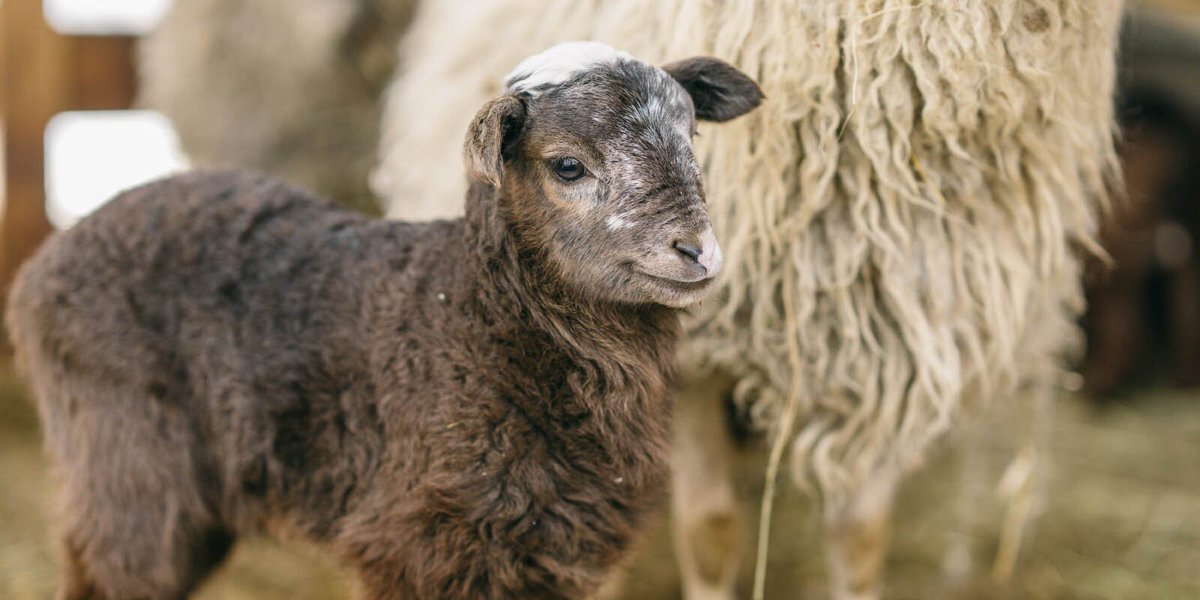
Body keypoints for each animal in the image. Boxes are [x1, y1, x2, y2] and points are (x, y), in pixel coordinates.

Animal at [7, 42, 763, 600]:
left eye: (691, 138)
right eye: (569, 165)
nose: (697, 249)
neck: (470, 318)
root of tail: (43, 266)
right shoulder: (418, 543)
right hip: (125, 468)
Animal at [373, 2, 1124, 598]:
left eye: (695, 137)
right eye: (567, 165)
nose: (696, 251)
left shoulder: (891, 341)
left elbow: (861, 540)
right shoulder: (697, 361)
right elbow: (711, 531)